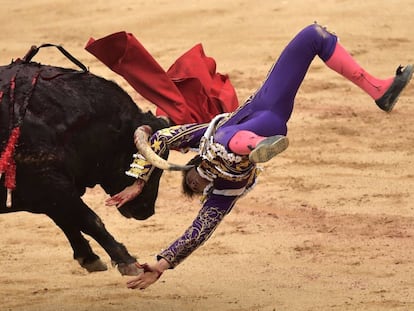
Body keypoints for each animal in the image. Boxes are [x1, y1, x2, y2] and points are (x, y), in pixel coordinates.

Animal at [0, 56, 170, 276]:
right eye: (143, 166)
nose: (146, 211)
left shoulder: (48, 191)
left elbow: (67, 219)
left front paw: (89, 258)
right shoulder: (47, 182)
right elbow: (89, 219)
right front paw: (128, 262)